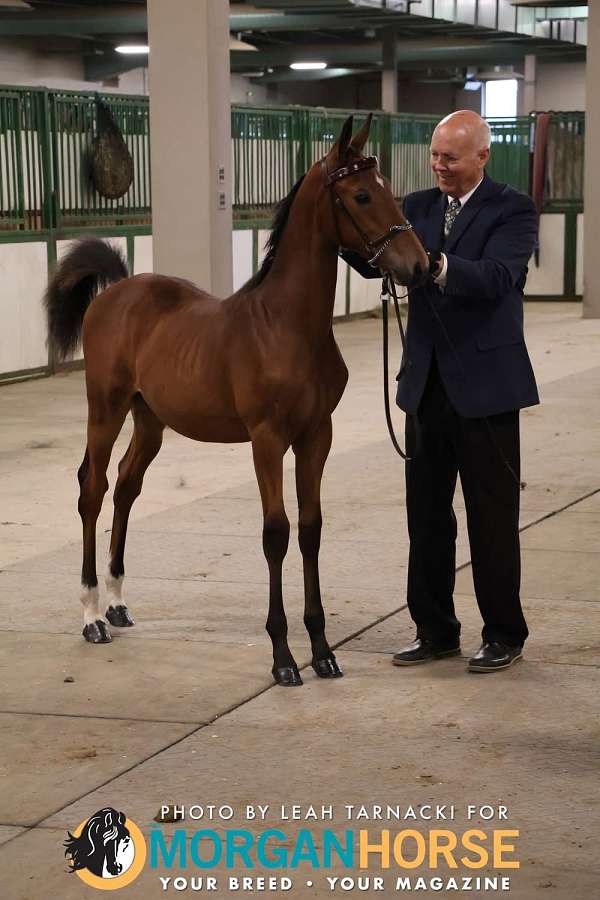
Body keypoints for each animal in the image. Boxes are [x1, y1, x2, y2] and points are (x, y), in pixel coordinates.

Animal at [45, 113, 428, 687]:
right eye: (361, 195)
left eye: (390, 190)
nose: (421, 265)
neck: (286, 326)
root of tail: (116, 292)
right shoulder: (266, 440)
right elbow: (276, 533)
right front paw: (284, 657)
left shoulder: (316, 436)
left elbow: (311, 530)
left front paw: (322, 651)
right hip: (105, 409)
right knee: (93, 489)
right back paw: (91, 615)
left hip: (149, 419)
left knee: (127, 487)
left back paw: (116, 603)